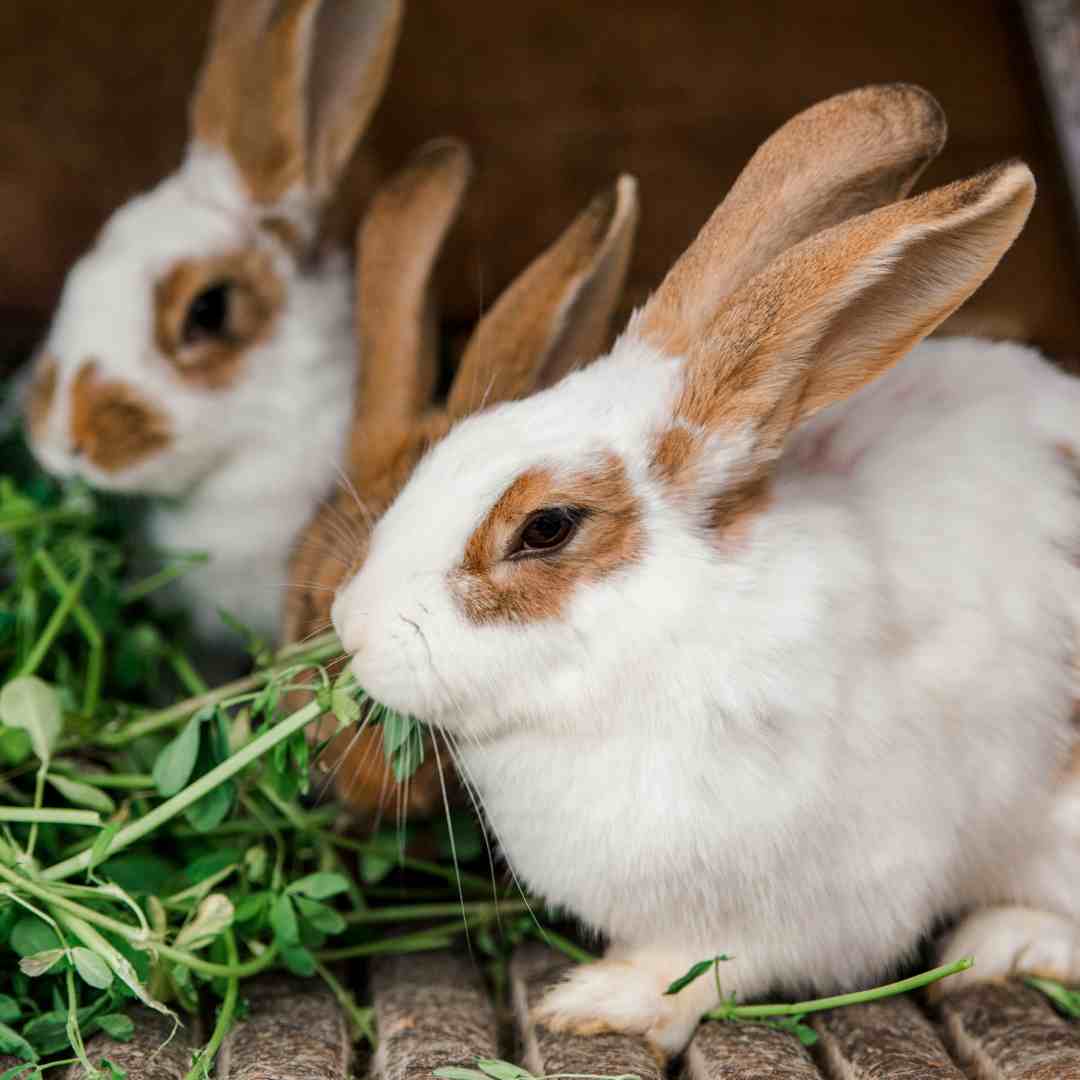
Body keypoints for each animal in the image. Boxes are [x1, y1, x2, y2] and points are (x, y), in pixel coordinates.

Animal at [326, 82, 1080, 1054]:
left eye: (545, 528)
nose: (350, 626)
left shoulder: (828, 890)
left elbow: (713, 965)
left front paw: (600, 1001)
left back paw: (1007, 941)